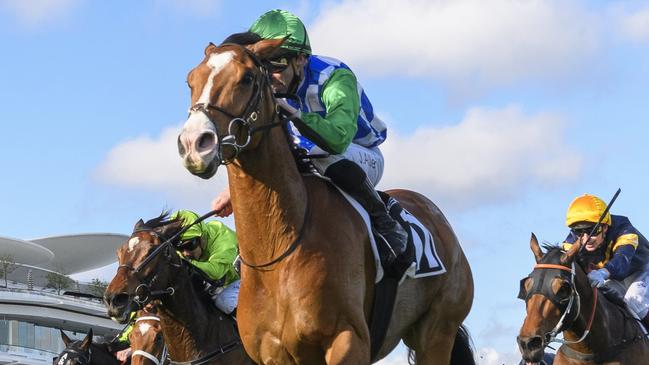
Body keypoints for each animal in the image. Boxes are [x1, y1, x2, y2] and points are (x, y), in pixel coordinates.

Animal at [175, 38, 474, 362]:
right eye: (190, 80)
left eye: (247, 78)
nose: (194, 144)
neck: (278, 252)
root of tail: (435, 215)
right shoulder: (274, 353)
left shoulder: (348, 340)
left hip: (437, 330)